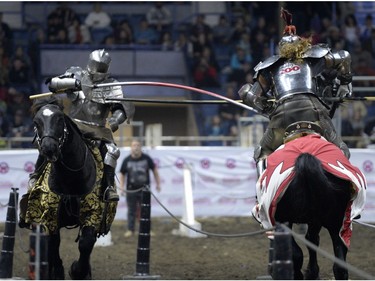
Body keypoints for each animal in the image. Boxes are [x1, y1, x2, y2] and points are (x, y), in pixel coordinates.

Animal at [20, 97, 117, 278]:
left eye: (59, 119)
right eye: (36, 122)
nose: (48, 148)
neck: (71, 177)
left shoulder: (92, 214)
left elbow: (86, 244)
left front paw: (77, 271)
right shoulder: (49, 217)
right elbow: (53, 246)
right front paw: (57, 272)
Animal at [254, 126, 366, 278]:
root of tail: (306, 161)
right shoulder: (316, 220)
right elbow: (312, 240)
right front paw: (312, 272)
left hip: (283, 220)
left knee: (296, 253)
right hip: (337, 222)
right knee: (340, 264)